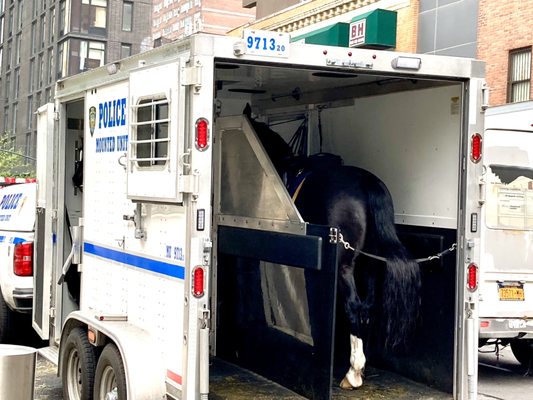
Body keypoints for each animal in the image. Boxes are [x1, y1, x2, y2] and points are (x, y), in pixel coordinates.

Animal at [247, 111, 422, 390]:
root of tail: (366, 182)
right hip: (370, 263)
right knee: (368, 306)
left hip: (344, 266)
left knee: (353, 306)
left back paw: (353, 373)